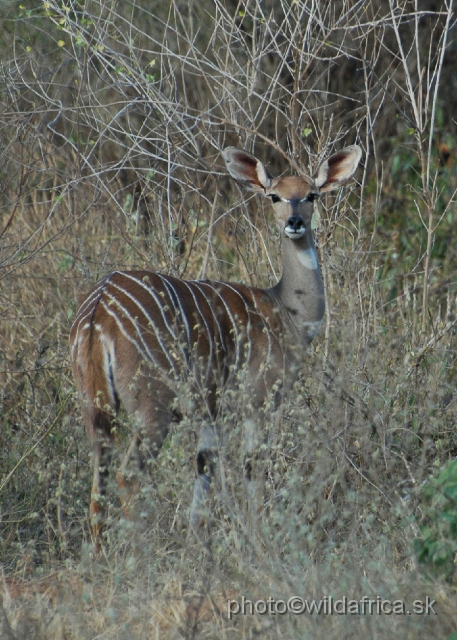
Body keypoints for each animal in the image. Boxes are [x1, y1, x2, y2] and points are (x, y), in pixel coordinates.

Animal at [68, 145, 360, 544]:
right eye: (274, 196)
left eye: (311, 195)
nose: (295, 222)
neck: (286, 311)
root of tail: (98, 313)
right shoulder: (257, 400)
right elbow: (253, 468)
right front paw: (257, 539)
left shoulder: (211, 414)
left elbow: (204, 467)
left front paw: (197, 543)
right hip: (152, 406)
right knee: (128, 474)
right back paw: (139, 550)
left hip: (95, 407)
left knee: (100, 473)